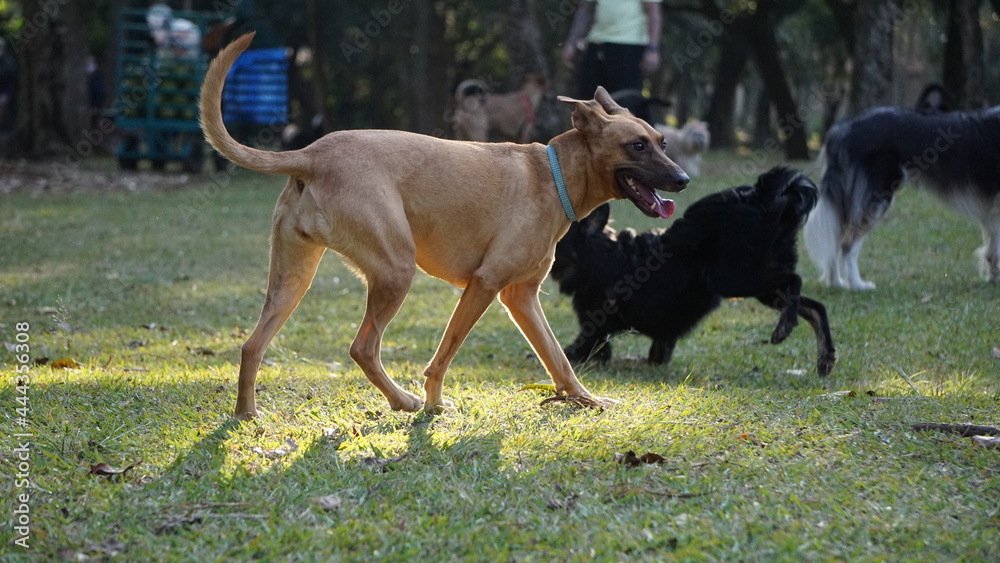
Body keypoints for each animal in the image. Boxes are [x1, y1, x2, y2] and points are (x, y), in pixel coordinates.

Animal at [200, 30, 692, 418]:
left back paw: (246, 414)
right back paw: (404, 401)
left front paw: (585, 400)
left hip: (293, 278)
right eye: (637, 146)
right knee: (363, 347)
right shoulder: (486, 284)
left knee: (251, 345)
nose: (684, 180)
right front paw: (435, 403)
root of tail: (312, 154)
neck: (552, 174)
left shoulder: (521, 298)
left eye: (663, 141)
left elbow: (558, 359)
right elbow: (444, 355)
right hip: (396, 271)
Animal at [548, 167, 836, 378]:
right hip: (759, 282)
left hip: (731, 279)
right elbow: (653, 354)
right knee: (815, 306)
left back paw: (785, 326)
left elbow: (571, 352)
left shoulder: (594, 329)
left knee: (796, 281)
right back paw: (825, 356)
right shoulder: (660, 338)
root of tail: (760, 195)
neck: (595, 257)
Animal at [804, 103, 1000, 288]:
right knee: (847, 245)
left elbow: (992, 249)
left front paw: (993, 279)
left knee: (834, 240)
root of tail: (843, 127)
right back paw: (858, 285)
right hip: (876, 196)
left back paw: (836, 283)